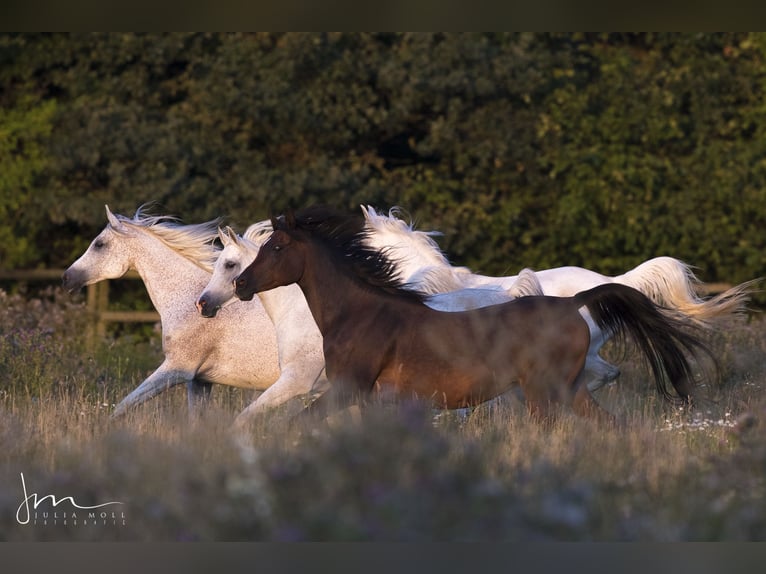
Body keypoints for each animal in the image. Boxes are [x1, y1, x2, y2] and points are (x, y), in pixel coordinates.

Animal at [232, 207, 712, 424]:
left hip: (543, 391)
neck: (363, 313)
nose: (240, 285)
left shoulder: (348, 388)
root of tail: (575, 301)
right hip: (571, 389)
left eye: (276, 247)